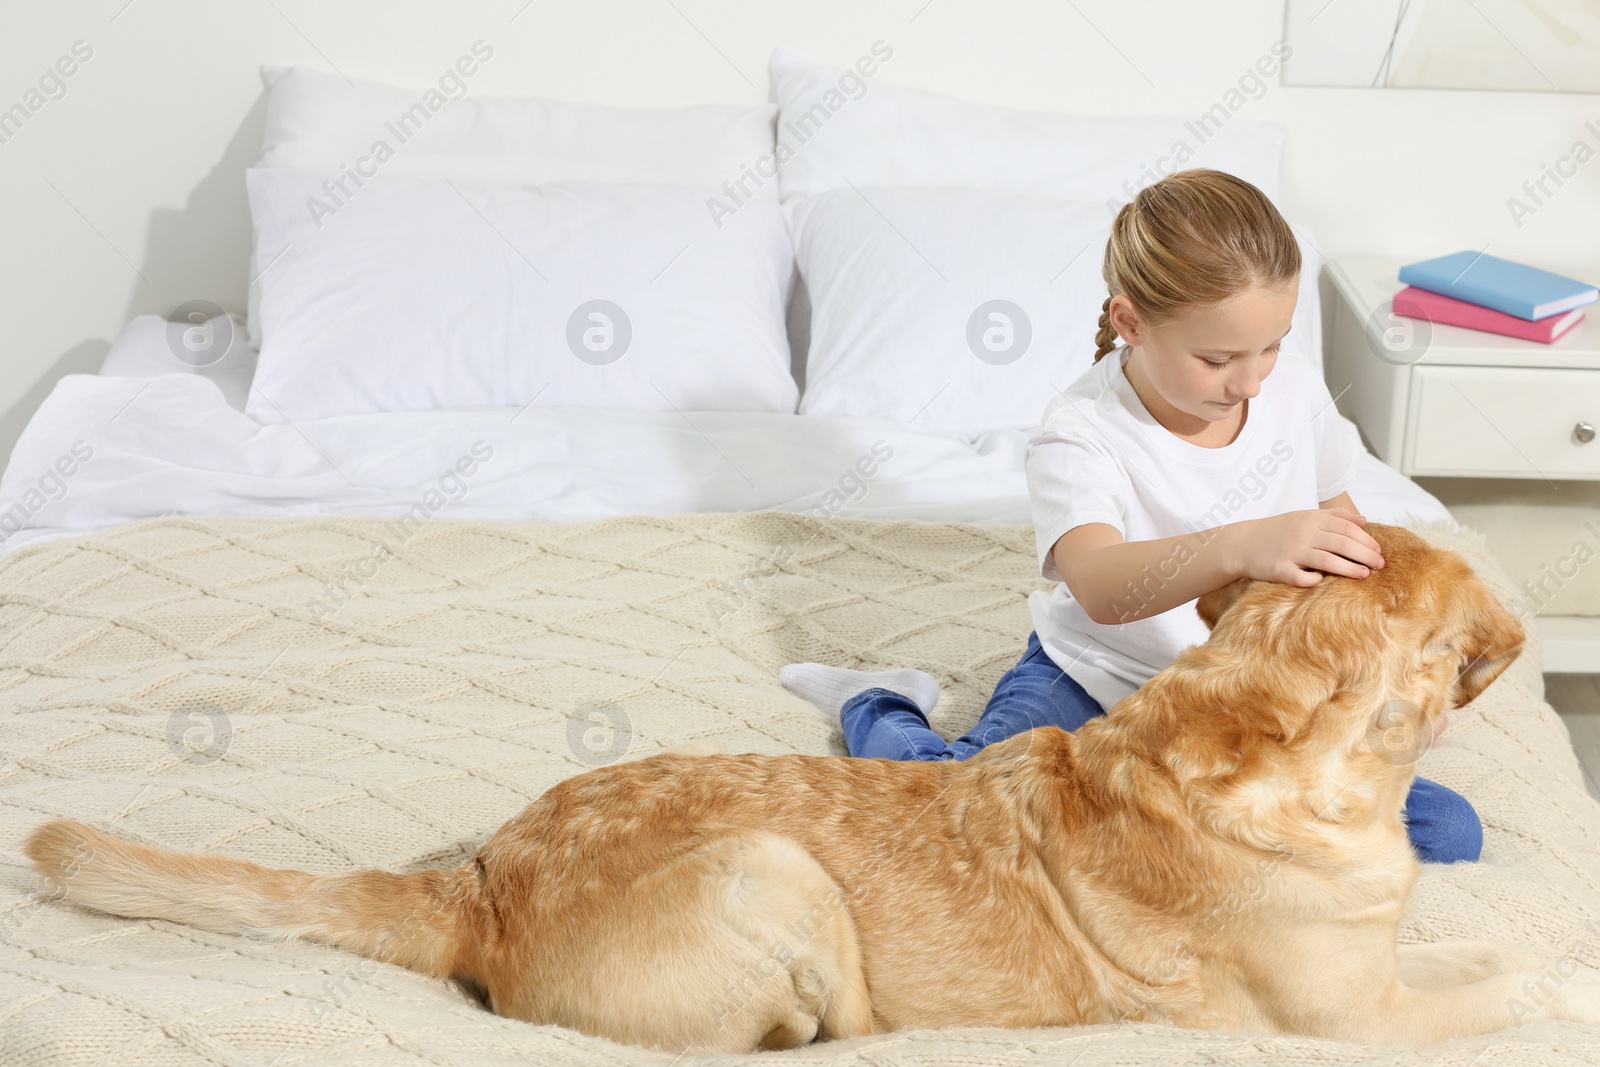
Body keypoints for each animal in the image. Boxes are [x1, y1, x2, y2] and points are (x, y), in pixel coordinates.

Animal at [18, 521, 1593, 1055]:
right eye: (1452, 635)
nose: (1515, 633)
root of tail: (476, 883)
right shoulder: (1353, 1016)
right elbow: (1519, 983)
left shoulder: (1384, 964)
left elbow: (1494, 947)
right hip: (778, 869)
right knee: (814, 1034)